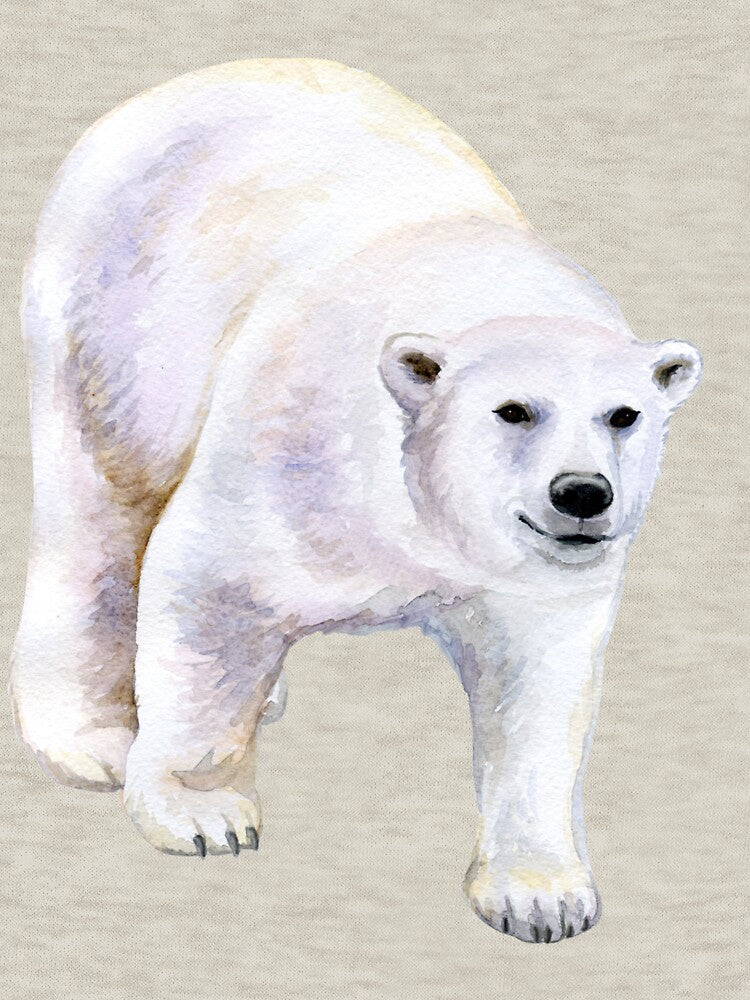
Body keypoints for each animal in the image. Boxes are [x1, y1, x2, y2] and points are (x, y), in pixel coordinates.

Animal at [9, 59, 702, 943]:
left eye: (624, 415)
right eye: (513, 410)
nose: (582, 494)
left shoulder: (532, 575)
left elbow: (537, 688)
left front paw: (542, 896)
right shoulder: (294, 449)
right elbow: (211, 588)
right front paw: (203, 817)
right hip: (113, 321)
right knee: (97, 503)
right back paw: (89, 740)